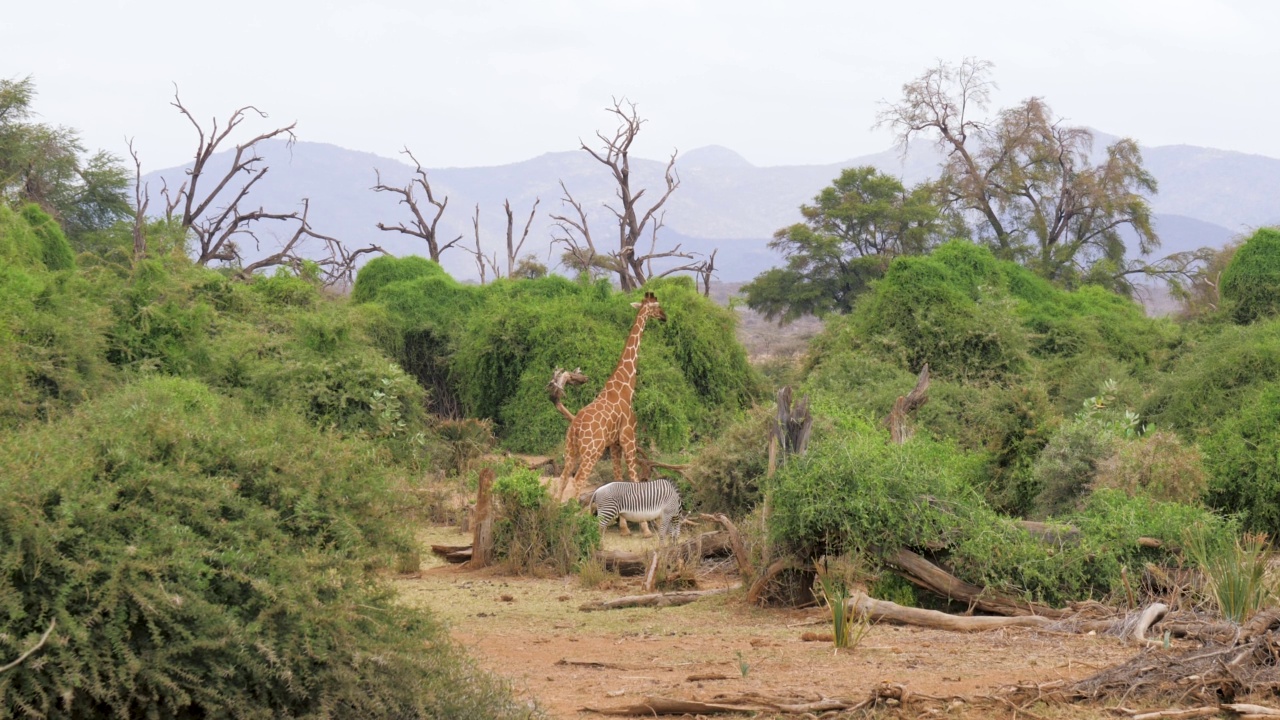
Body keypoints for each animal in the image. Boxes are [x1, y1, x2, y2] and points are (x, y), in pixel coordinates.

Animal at [552, 288, 665, 517]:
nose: (665, 317)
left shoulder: (614, 444)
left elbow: (618, 478)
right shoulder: (628, 438)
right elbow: (633, 479)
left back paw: (556, 514)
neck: (624, 387)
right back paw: (575, 516)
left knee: (563, 477)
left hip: (571, 449)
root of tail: (576, 427)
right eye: (657, 306)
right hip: (592, 451)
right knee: (578, 480)